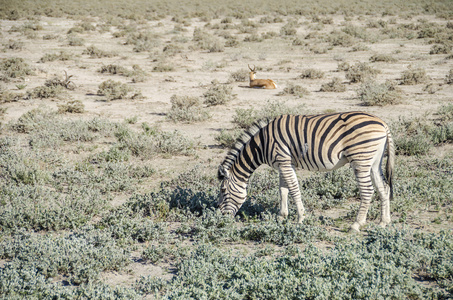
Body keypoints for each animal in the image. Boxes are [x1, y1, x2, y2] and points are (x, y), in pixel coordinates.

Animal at [217, 112, 394, 232]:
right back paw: (384, 222)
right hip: (374, 161)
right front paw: (281, 216)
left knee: (368, 191)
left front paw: (301, 218)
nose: (221, 219)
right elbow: (283, 190)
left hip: (360, 159)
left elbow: (294, 189)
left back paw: (356, 224)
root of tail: (383, 123)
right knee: (383, 188)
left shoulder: (284, 161)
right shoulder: (283, 164)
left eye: (223, 191)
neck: (262, 144)